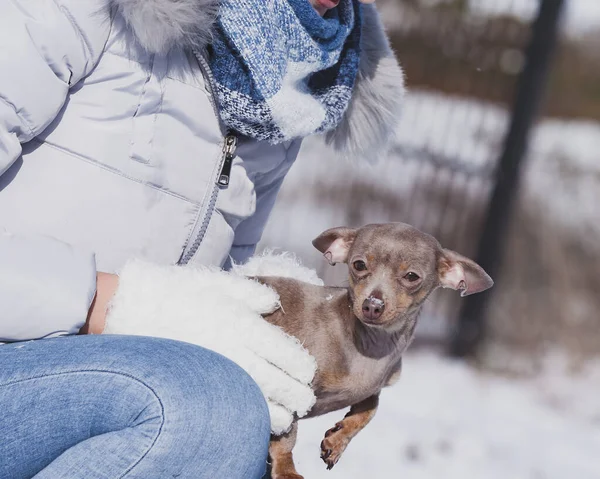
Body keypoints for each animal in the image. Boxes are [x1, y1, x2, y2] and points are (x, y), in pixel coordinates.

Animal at [258, 223, 492, 478]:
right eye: (359, 265)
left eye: (411, 276)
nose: (373, 305)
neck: (370, 346)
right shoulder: (291, 388)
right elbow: (286, 433)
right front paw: (286, 468)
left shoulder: (374, 389)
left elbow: (370, 409)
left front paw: (338, 440)